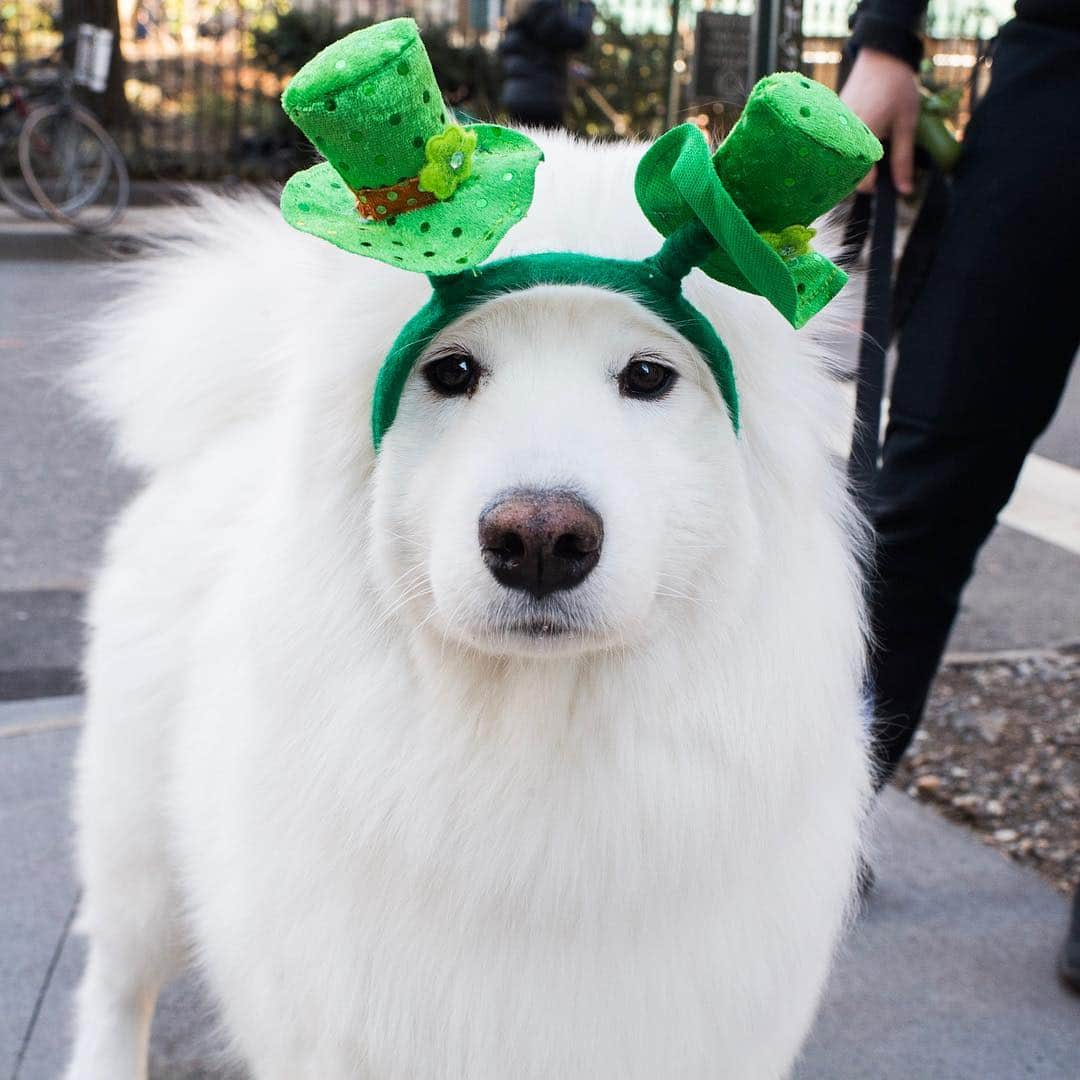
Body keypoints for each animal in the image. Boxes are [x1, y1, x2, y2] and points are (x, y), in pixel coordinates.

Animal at [67, 128, 872, 1080]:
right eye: (452, 371)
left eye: (647, 375)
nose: (540, 538)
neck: (528, 766)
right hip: (139, 850)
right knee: (115, 982)